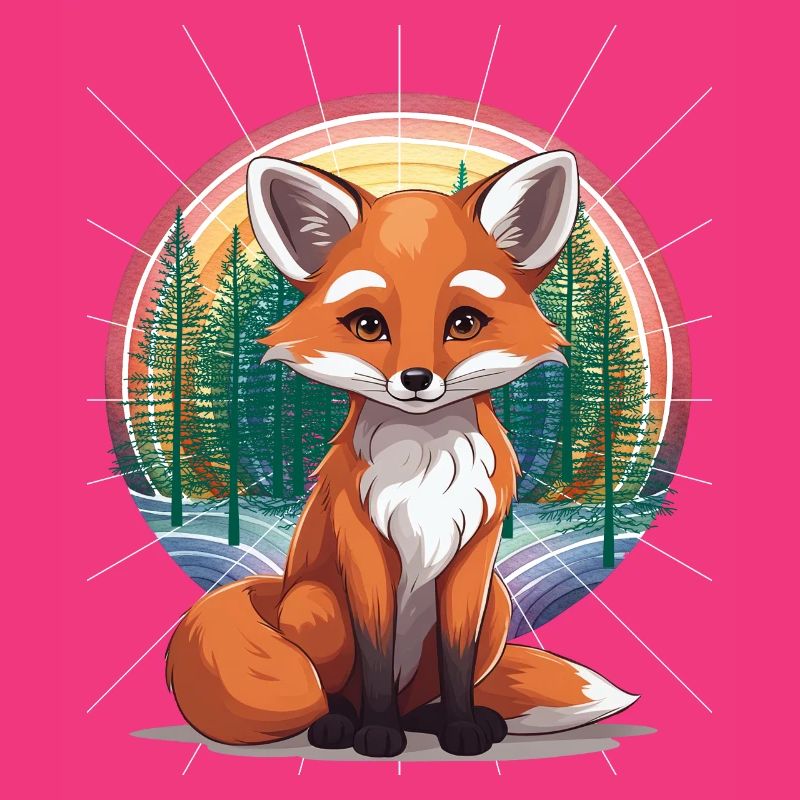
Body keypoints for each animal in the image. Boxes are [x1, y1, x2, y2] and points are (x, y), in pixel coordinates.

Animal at [165, 151, 638, 757]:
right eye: (369, 325)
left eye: (464, 323)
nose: (415, 380)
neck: (426, 468)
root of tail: (277, 591)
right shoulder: (364, 549)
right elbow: (375, 651)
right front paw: (377, 732)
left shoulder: (474, 559)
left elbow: (457, 659)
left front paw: (461, 727)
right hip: (317, 606)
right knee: (338, 689)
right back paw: (340, 723)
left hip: (498, 606)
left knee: (425, 697)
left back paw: (441, 721)